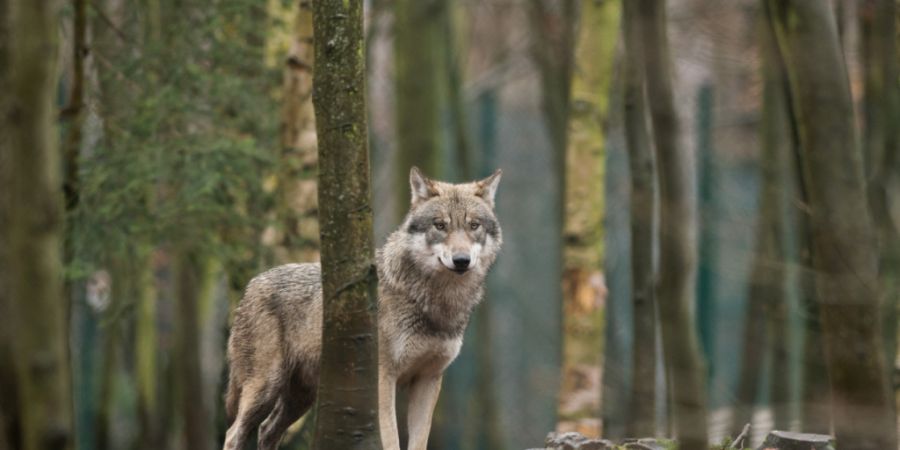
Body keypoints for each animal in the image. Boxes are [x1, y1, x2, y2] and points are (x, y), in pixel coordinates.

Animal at [222, 167, 503, 450]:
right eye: (440, 225)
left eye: (474, 226)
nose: (461, 260)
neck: (435, 302)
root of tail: (251, 285)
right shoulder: (384, 378)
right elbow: (391, 440)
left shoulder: (428, 379)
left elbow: (418, 442)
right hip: (266, 388)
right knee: (234, 433)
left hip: (301, 397)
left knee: (267, 430)